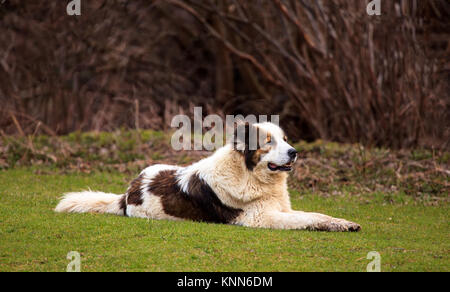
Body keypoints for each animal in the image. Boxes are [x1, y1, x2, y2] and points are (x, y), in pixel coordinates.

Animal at [54, 122, 360, 232]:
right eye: (268, 142)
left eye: (285, 140)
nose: (295, 152)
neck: (248, 175)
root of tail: (129, 192)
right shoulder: (260, 218)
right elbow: (305, 219)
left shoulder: (280, 209)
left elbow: (316, 214)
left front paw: (342, 223)